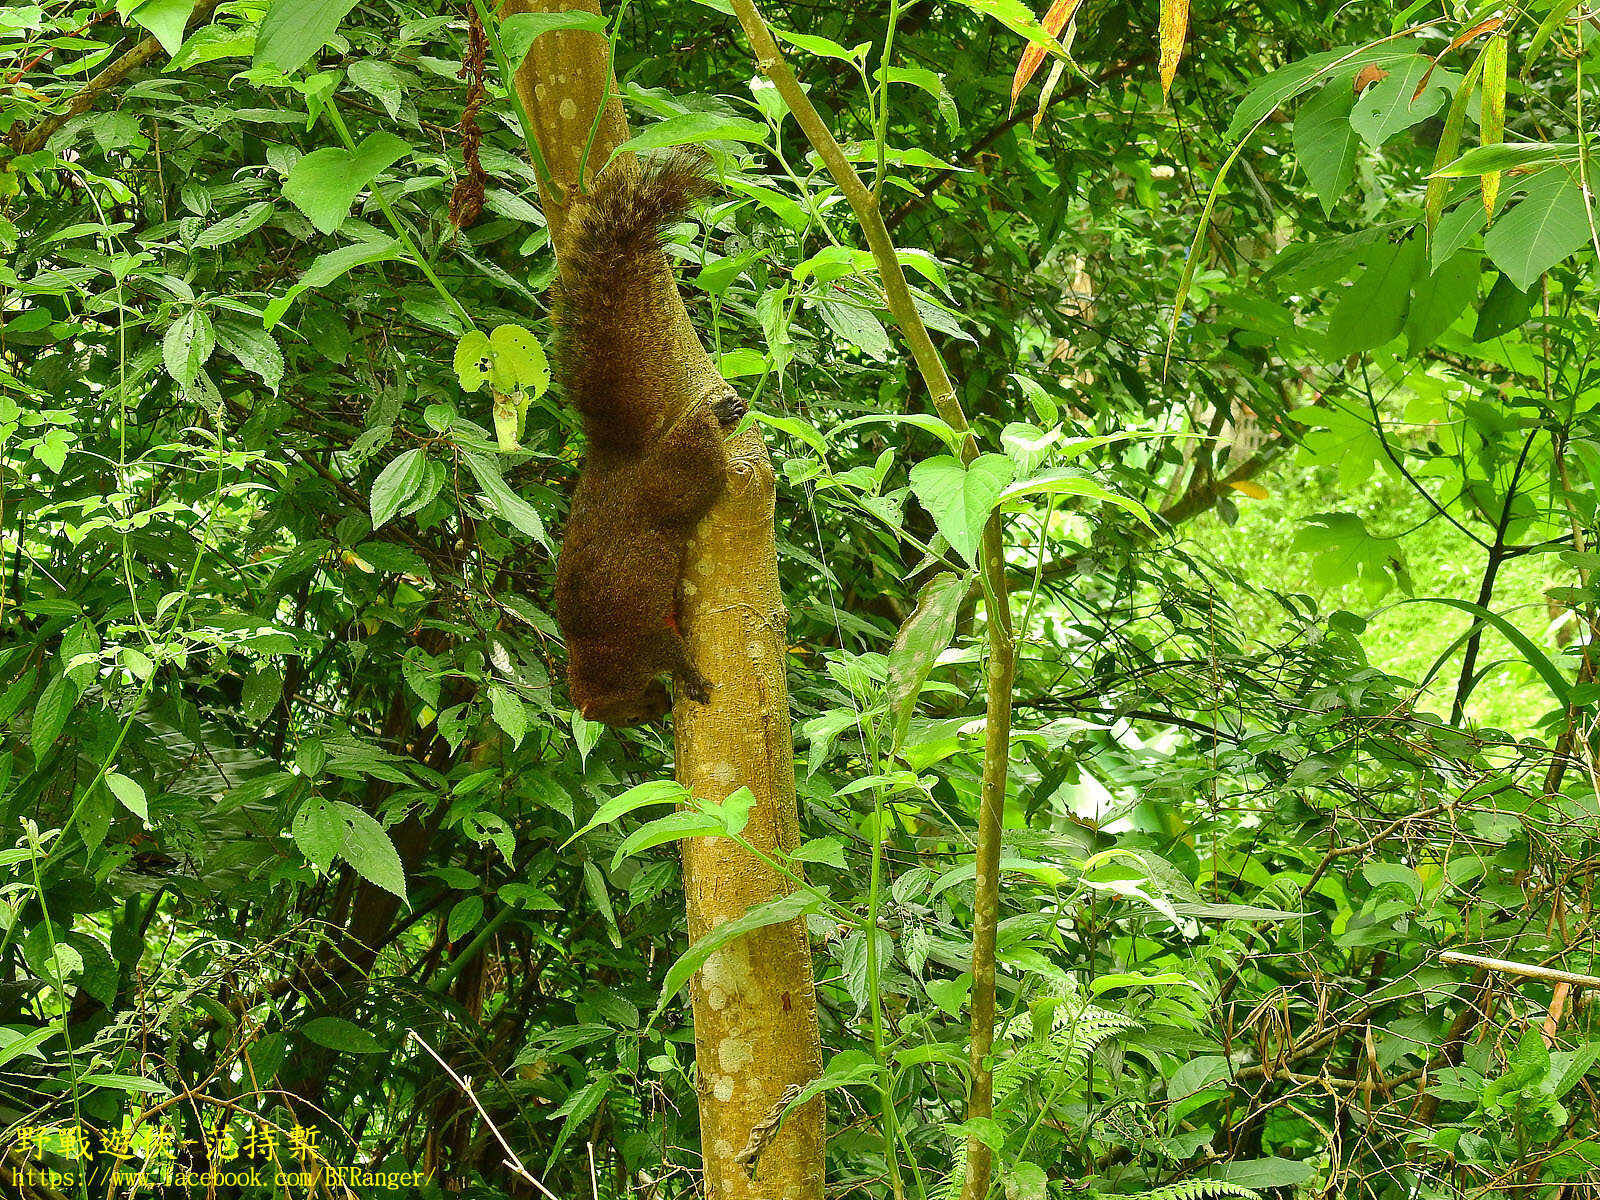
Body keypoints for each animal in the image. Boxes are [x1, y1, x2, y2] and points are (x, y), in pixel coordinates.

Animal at [553, 152, 745, 732]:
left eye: (630, 710)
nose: (657, 711)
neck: (599, 666)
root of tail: (618, 455)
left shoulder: (642, 644)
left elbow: (674, 654)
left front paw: (691, 679)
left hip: (681, 482)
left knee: (695, 451)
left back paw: (716, 414)